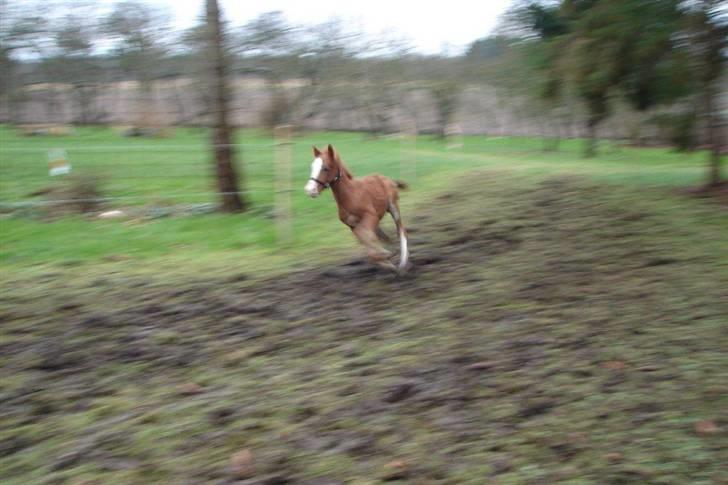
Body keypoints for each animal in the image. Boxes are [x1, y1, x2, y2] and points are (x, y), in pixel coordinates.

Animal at [302, 144, 410, 272]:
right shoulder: (352, 225)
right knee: (383, 235)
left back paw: (403, 262)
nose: (310, 190)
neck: (351, 196)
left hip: (393, 206)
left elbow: (367, 236)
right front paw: (385, 258)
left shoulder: (371, 216)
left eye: (326, 168)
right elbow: (366, 239)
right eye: (312, 167)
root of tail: (388, 179)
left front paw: (386, 255)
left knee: (401, 230)